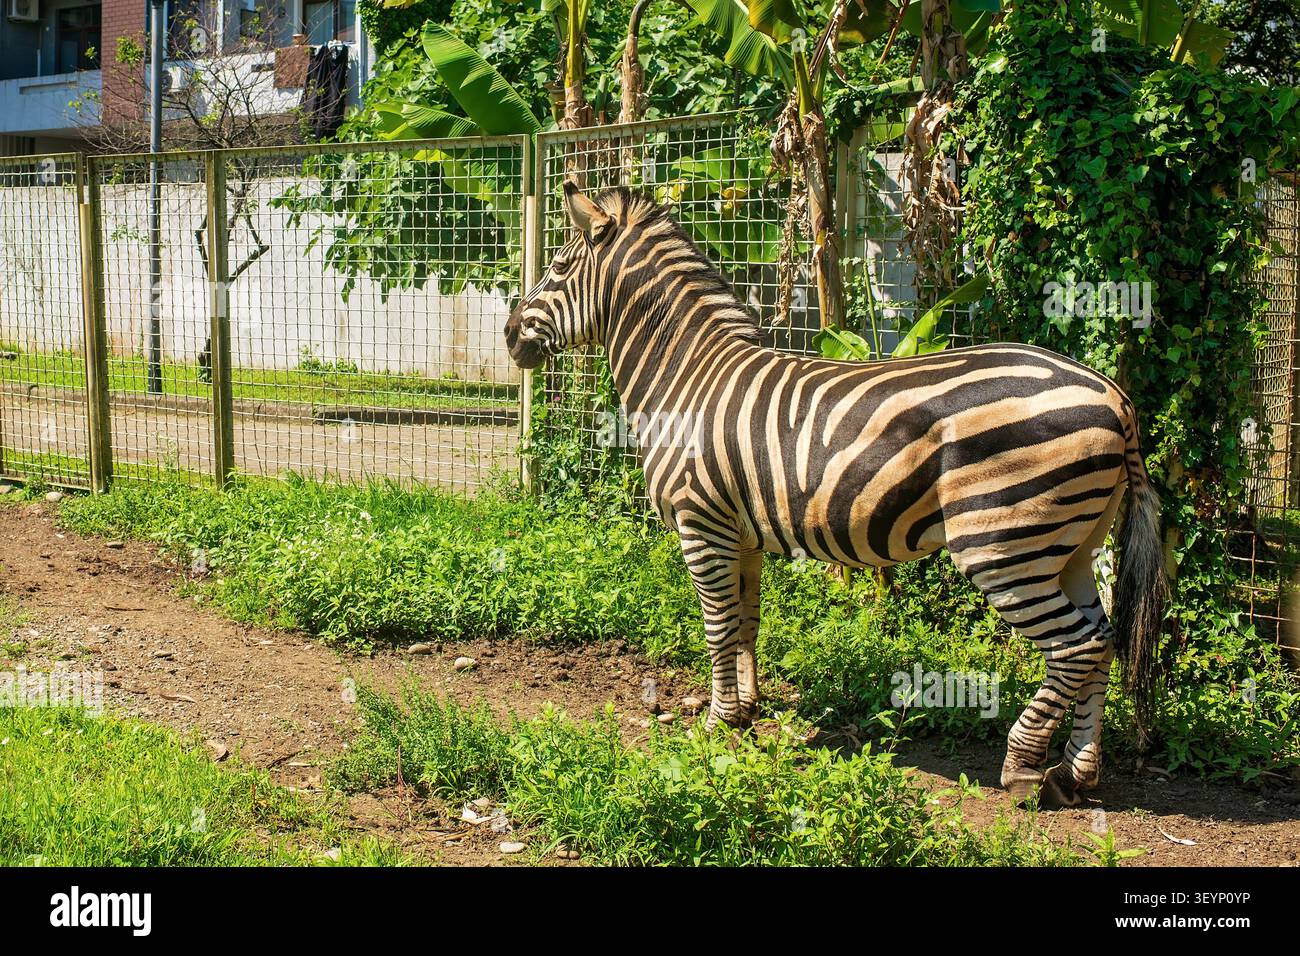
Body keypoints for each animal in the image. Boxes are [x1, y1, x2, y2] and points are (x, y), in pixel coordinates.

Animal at [505, 182, 1168, 809]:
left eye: (559, 266)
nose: (510, 334)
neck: (687, 375)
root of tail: (1114, 396)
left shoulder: (702, 524)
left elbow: (718, 626)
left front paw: (717, 726)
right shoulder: (741, 533)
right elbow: (747, 622)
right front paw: (746, 713)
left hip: (1004, 547)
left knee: (1076, 645)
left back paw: (1024, 768)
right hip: (1072, 546)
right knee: (1103, 641)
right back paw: (1076, 773)